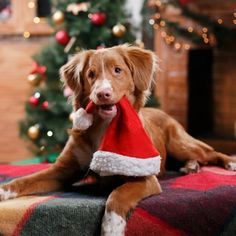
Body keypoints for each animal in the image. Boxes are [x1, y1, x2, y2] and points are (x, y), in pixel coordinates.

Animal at [0, 44, 236, 236]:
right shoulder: (61, 171)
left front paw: (112, 227)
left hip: (180, 144)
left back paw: (227, 163)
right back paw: (190, 167)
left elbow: (117, 196)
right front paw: (4, 190)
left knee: (210, 152)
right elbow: (26, 179)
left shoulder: (145, 178)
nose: (102, 94)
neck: (103, 128)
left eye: (117, 70)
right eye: (91, 74)